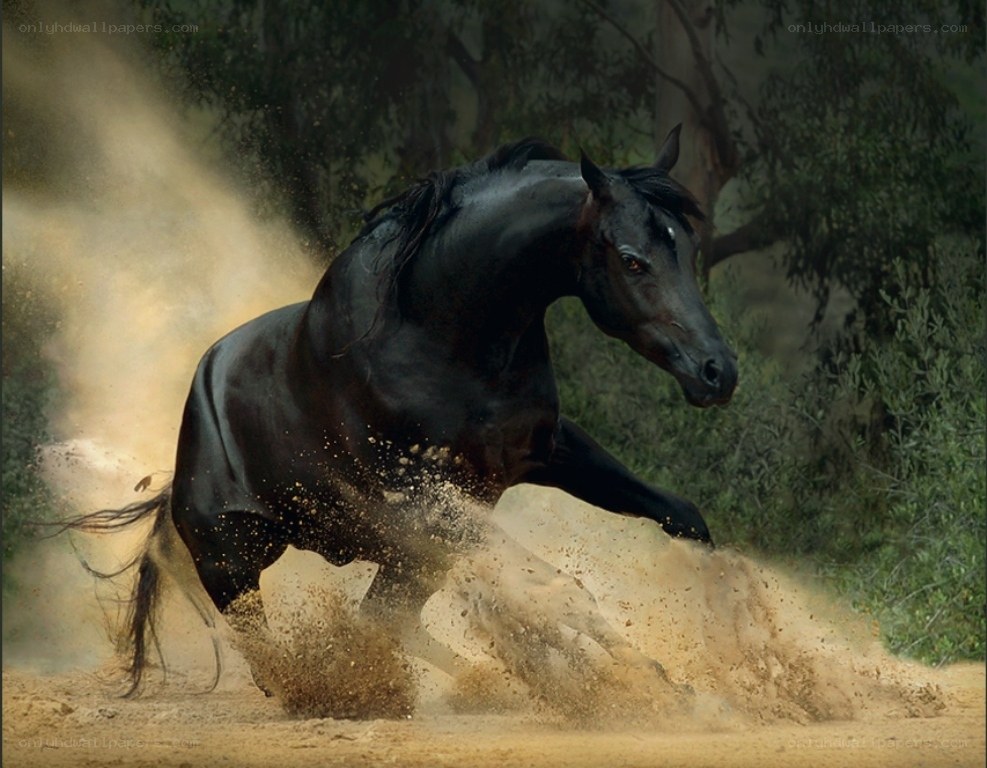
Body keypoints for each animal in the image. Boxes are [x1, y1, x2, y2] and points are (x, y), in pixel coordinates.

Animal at [63, 126, 737, 697]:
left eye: (685, 247)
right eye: (631, 258)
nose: (718, 370)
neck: (441, 332)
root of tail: (182, 468)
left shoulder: (542, 453)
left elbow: (682, 516)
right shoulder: (427, 494)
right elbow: (562, 590)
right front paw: (660, 686)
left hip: (400, 557)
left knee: (383, 620)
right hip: (237, 568)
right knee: (284, 664)